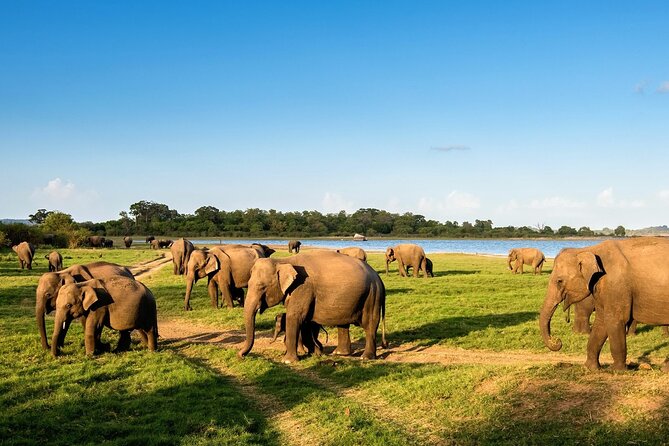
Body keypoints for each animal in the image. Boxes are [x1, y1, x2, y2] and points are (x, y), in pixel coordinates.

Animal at [238, 251, 387, 363]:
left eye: (261, 287)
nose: (240, 355)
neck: (282, 260)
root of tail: (378, 278)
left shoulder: (303, 288)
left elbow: (295, 317)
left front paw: (288, 361)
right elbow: (306, 321)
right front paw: (316, 353)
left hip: (372, 295)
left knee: (370, 324)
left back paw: (365, 357)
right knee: (343, 324)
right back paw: (339, 353)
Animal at [539, 237, 669, 372]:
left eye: (559, 281)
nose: (557, 341)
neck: (588, 249)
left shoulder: (616, 285)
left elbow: (615, 319)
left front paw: (616, 370)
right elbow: (601, 321)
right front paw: (591, 368)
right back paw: (665, 368)